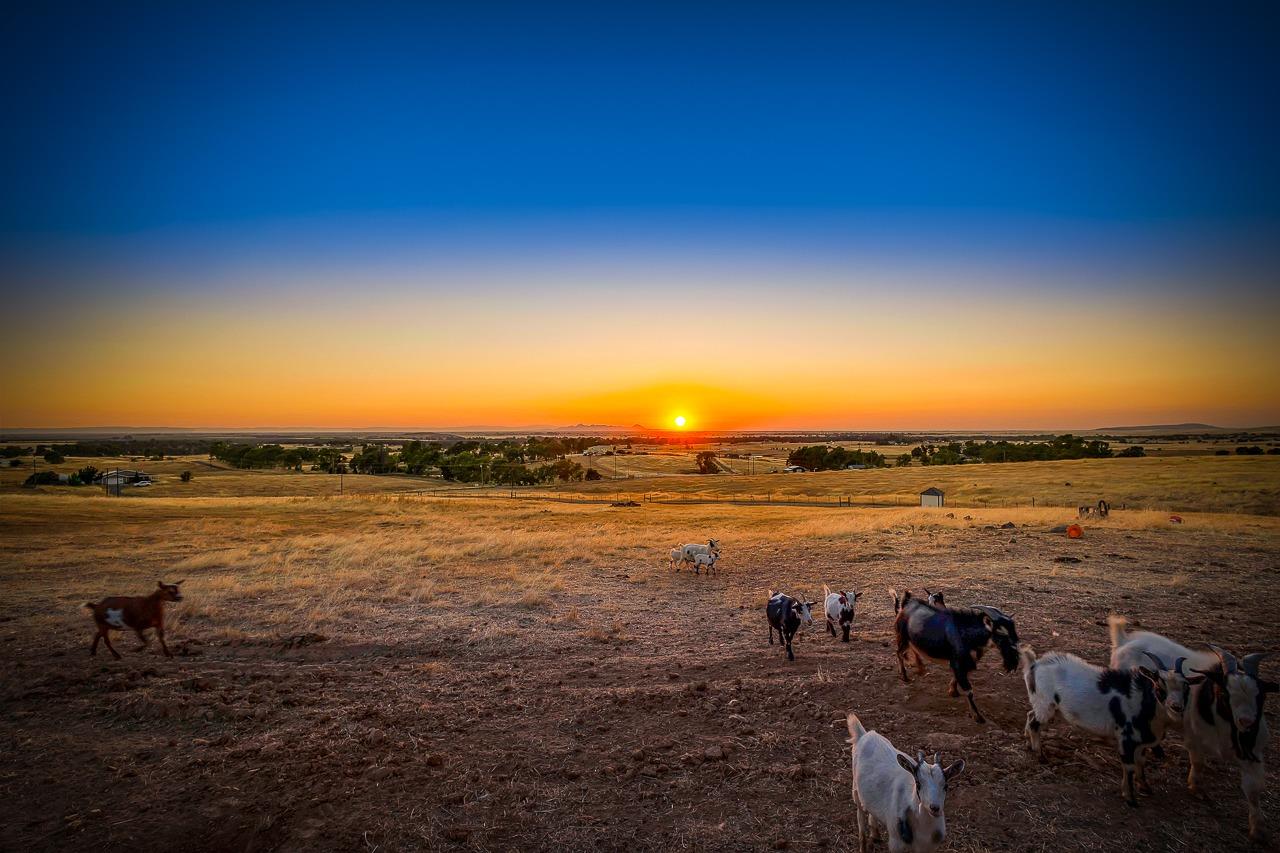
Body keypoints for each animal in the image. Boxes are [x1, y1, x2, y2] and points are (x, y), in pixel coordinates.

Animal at [849, 712, 962, 850]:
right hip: (856, 790)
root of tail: (864, 734)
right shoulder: (895, 842)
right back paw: (863, 846)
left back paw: (876, 835)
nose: (935, 808)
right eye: (918, 784)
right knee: (860, 814)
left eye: (946, 786)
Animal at [890, 589, 1018, 722]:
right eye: (1001, 632)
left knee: (912, 650)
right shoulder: (958, 661)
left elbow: (957, 677)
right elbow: (969, 690)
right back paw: (905, 676)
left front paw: (953, 691)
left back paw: (920, 667)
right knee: (899, 652)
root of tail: (905, 605)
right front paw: (977, 716)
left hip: (911, 638)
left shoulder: (966, 661)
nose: (1013, 659)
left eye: (1014, 630)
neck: (966, 634)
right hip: (902, 637)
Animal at [1018, 645, 1172, 804]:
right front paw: (1131, 799)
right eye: (1158, 685)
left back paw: (1029, 744)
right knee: (1034, 724)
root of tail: (1034, 664)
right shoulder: (1127, 735)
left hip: (1046, 706)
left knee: (1030, 715)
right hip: (1046, 704)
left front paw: (1146, 788)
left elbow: (1141, 761)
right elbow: (1130, 765)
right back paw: (1040, 756)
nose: (1174, 706)